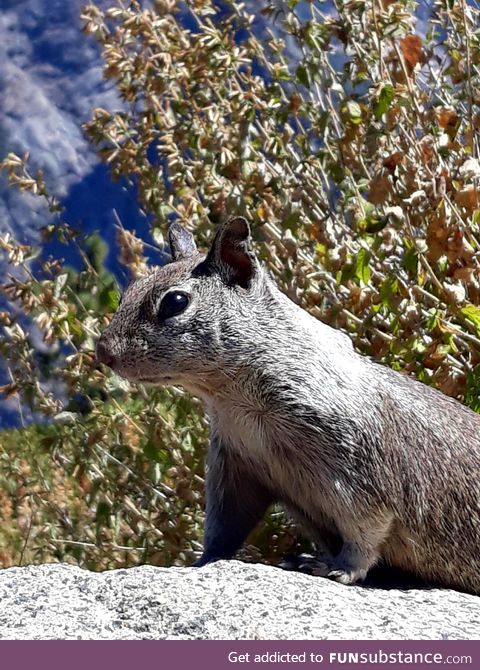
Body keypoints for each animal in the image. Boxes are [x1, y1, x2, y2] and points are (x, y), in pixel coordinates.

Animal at [95, 218, 480, 596]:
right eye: (129, 291)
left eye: (175, 301)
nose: (103, 352)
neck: (233, 401)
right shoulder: (236, 468)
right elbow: (224, 527)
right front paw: (199, 562)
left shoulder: (358, 475)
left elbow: (365, 532)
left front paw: (337, 568)